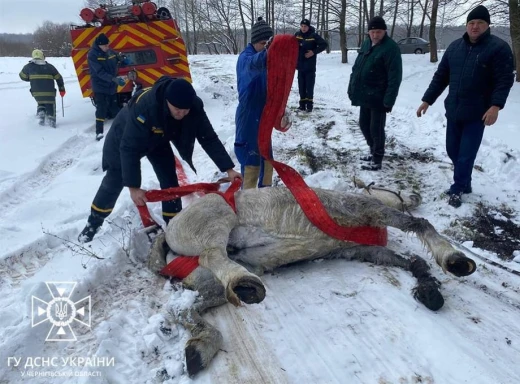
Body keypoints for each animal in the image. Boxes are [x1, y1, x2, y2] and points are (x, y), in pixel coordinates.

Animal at [146, 183, 476, 376]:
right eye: (395, 190)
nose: (416, 196)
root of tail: (168, 231)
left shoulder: (360, 250)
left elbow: (412, 262)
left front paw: (429, 290)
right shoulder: (367, 210)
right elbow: (417, 223)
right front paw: (455, 260)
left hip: (209, 285)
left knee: (183, 308)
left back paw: (200, 348)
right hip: (216, 221)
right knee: (212, 255)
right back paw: (245, 283)